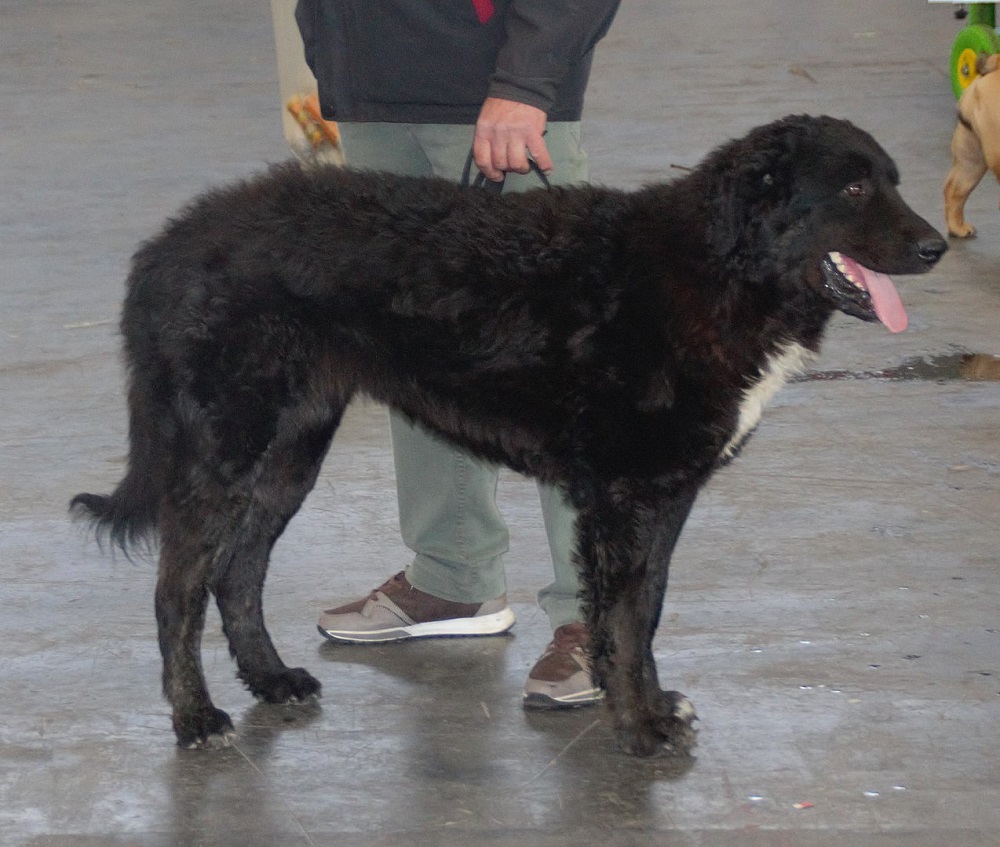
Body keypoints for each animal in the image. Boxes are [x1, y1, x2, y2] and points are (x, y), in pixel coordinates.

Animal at [72, 115, 946, 757]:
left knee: (238, 572)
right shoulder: (626, 497)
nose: (935, 245)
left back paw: (272, 678)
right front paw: (638, 725)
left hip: (289, 452)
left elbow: (646, 610)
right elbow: (625, 618)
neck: (719, 267)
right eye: (854, 184)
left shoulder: (663, 495)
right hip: (224, 448)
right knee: (178, 589)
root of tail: (169, 243)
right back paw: (194, 717)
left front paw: (652, 703)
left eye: (893, 179)